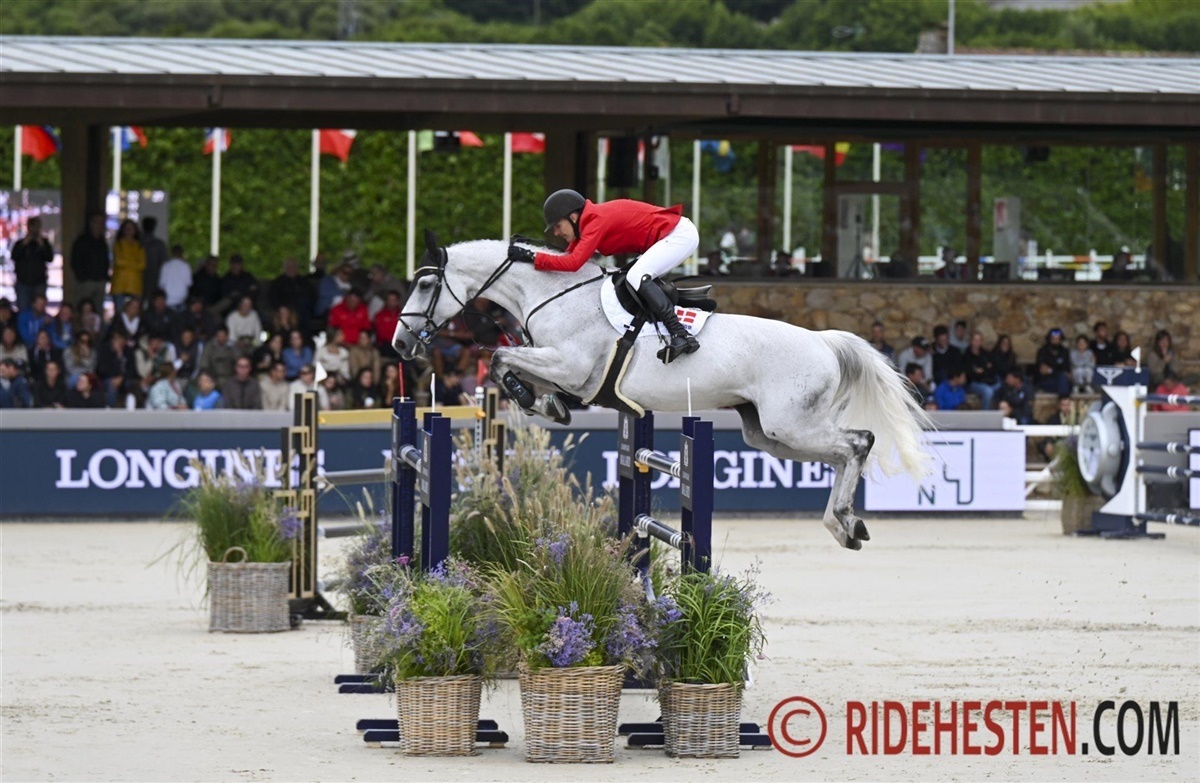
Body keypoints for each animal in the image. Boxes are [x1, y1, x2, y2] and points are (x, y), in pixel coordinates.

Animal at [393, 232, 932, 550]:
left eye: (425, 286)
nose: (400, 343)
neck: (555, 294)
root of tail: (822, 340)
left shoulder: (569, 364)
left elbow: (501, 360)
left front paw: (530, 398)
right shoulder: (563, 367)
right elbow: (515, 367)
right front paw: (547, 404)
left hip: (793, 425)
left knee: (859, 442)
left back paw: (843, 521)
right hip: (770, 434)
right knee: (842, 452)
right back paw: (846, 524)